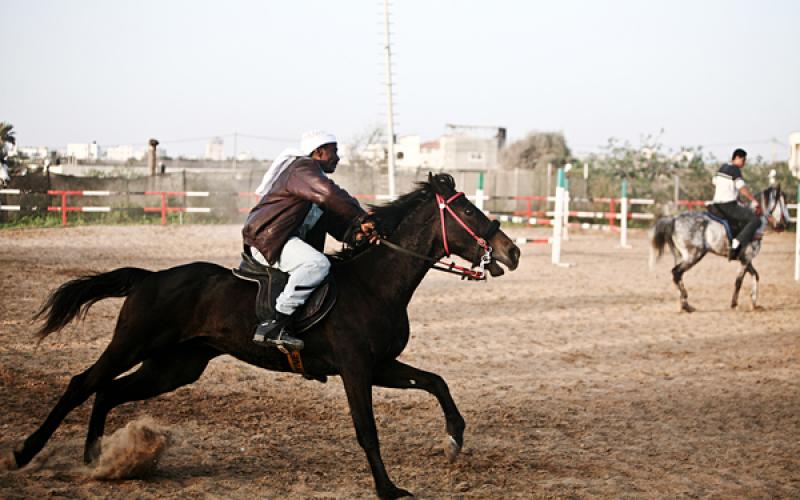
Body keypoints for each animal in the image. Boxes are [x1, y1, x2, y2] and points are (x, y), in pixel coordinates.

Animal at [3, 174, 520, 498]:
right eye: (467, 209)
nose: (511, 251)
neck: (375, 282)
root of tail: (150, 277)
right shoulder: (356, 371)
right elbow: (367, 432)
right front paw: (387, 489)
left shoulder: (381, 367)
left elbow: (436, 382)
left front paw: (454, 438)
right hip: (131, 346)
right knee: (82, 384)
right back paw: (27, 451)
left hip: (173, 368)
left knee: (108, 392)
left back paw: (98, 461)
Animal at [652, 185, 792, 312]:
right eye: (783, 202)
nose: (786, 223)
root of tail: (674, 219)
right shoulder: (746, 259)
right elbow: (739, 281)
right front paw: (734, 304)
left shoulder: (746, 260)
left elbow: (755, 275)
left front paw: (754, 303)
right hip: (694, 256)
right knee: (676, 273)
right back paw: (685, 303)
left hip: (681, 256)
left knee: (678, 276)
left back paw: (684, 304)